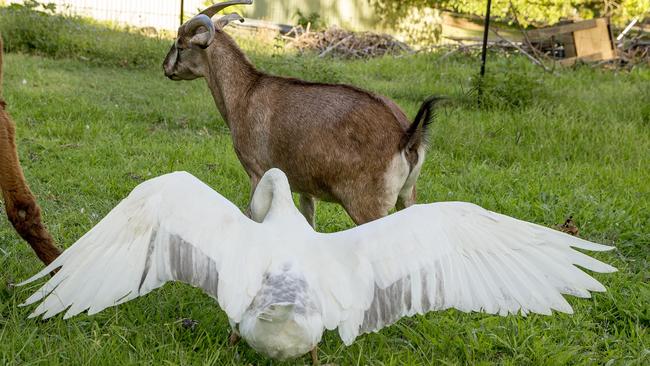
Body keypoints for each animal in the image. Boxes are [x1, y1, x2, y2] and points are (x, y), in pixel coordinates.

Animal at [161, 0, 440, 226]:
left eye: (180, 45)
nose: (166, 68)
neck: (245, 93)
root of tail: (406, 136)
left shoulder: (257, 171)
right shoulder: (306, 187)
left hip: (368, 206)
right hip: (407, 197)